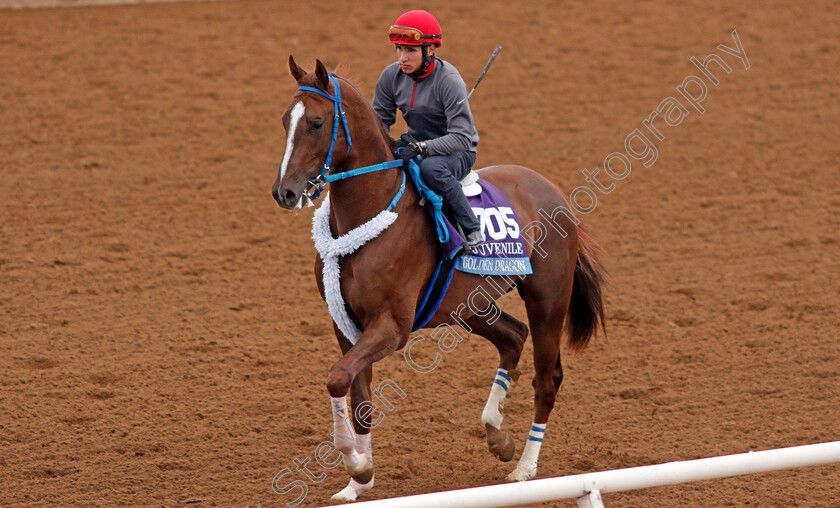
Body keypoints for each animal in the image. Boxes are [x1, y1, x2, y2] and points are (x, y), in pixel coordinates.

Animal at [270, 57, 604, 502]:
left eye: (318, 123)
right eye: (284, 120)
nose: (284, 192)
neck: (371, 215)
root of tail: (554, 192)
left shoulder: (392, 326)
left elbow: (338, 378)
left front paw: (356, 465)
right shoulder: (346, 325)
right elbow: (356, 396)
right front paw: (358, 482)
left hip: (548, 301)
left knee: (546, 380)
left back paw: (524, 468)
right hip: (469, 305)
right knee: (513, 337)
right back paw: (496, 433)